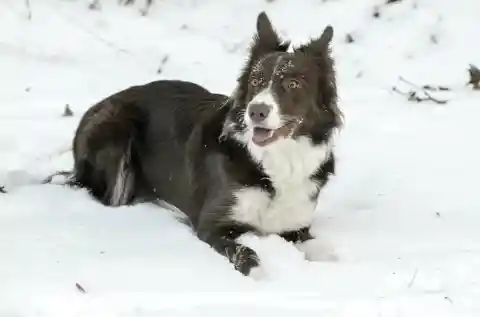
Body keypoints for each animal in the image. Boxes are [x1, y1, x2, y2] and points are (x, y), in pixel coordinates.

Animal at [66, 11, 342, 276]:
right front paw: (258, 271)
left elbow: (322, 248)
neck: (274, 160)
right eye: (255, 81)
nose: (256, 111)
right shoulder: (214, 225)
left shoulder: (296, 226)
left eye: (293, 84)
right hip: (116, 131)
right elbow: (244, 252)